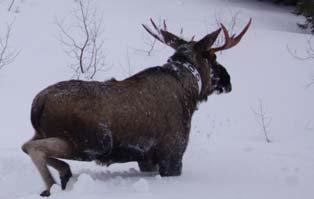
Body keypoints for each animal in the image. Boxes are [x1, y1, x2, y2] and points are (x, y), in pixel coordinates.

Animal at [22, 18, 251, 196]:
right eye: (213, 57)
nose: (227, 80)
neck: (190, 95)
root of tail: (37, 104)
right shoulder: (173, 154)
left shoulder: (146, 159)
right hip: (91, 143)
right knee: (33, 148)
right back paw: (54, 182)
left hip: (46, 133)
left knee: (26, 145)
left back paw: (61, 175)